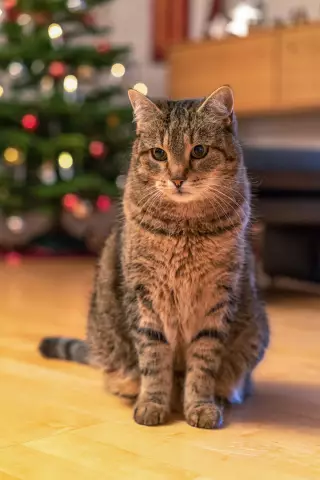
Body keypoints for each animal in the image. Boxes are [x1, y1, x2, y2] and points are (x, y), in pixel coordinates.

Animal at [40, 85, 270, 428]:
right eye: (159, 154)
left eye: (199, 151)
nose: (177, 178)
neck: (186, 229)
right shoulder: (145, 295)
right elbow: (153, 357)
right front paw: (152, 403)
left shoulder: (217, 297)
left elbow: (204, 362)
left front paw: (200, 405)